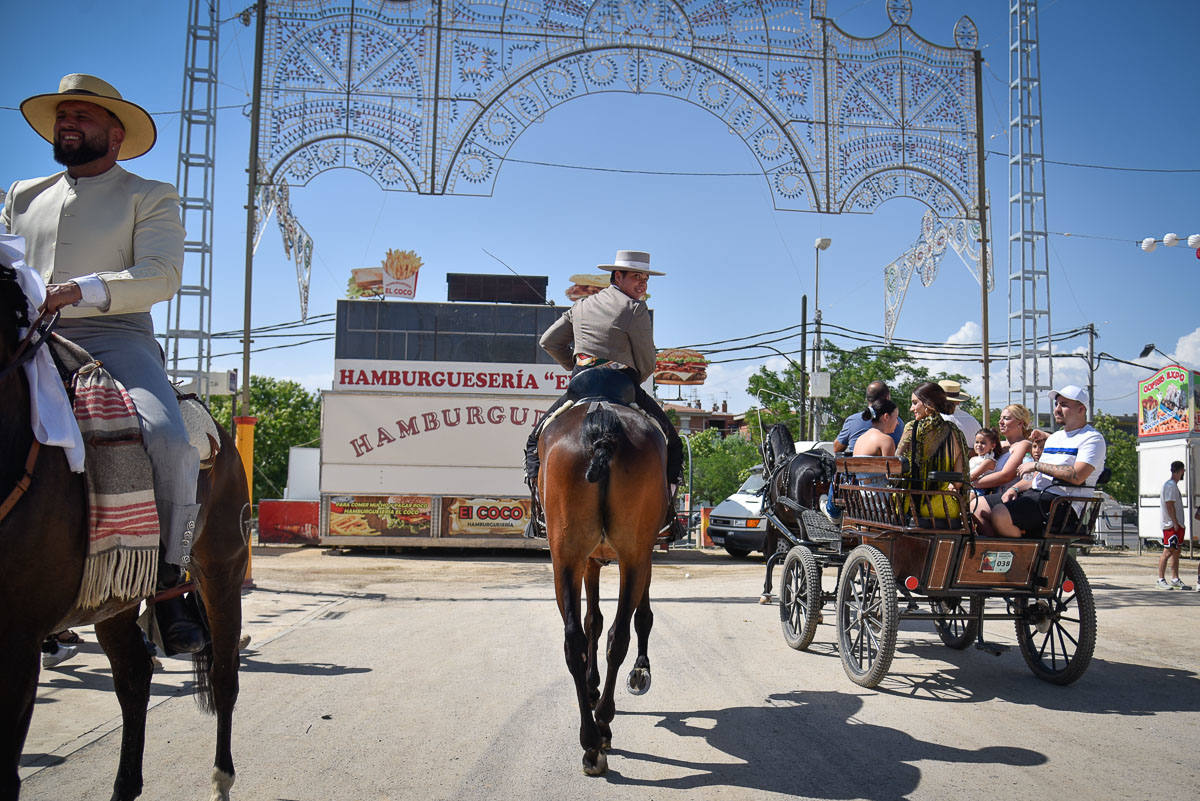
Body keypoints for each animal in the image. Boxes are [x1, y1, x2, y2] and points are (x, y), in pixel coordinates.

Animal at [0, 263, 249, 801]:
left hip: (222, 568)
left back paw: (221, 778)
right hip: (113, 597)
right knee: (135, 676)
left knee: (224, 676)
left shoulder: (18, 637)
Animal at [542, 376, 672, 777]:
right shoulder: (637, 556)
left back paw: (591, 741)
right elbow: (630, 617)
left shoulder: (592, 561)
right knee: (617, 636)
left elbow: (593, 622)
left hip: (566, 558)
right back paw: (601, 725)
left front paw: (594, 685)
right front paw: (638, 672)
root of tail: (600, 425)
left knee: (576, 641)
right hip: (629, 555)